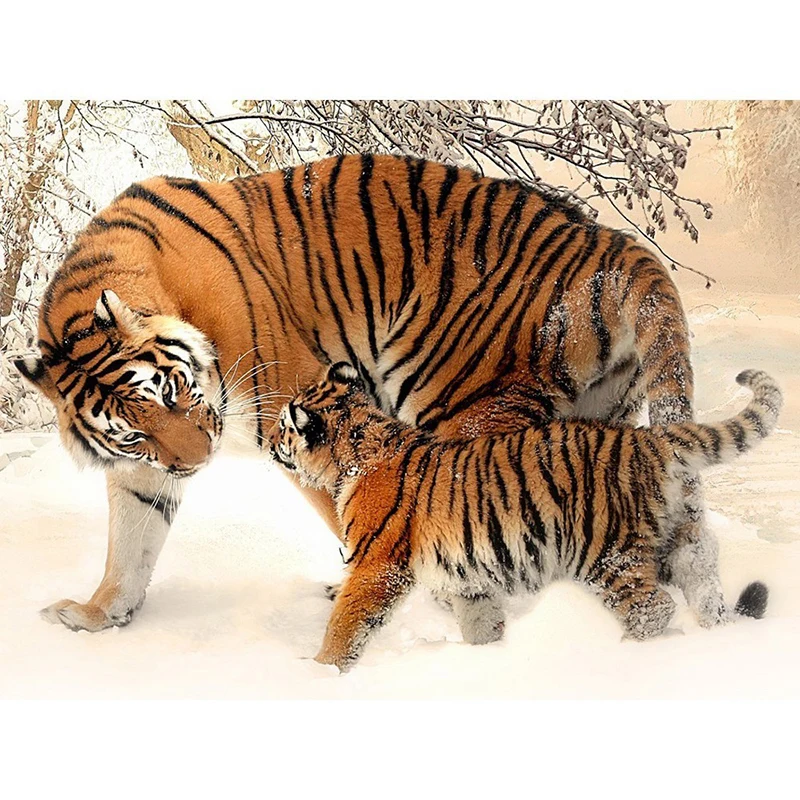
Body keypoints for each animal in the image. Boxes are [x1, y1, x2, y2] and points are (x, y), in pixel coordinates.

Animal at [13, 153, 740, 634]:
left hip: (463, 404)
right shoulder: (144, 469)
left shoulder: (295, 407)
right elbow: (131, 539)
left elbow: (360, 519)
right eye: (132, 430)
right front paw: (98, 614)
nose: (196, 463)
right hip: (597, 420)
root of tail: (610, 242)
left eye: (170, 392)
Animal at [267, 363, 780, 672]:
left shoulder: (377, 567)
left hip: (606, 552)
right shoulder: (468, 577)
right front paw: (489, 658)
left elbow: (345, 623)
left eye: (284, 427)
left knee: (653, 608)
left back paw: (624, 654)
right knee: (703, 583)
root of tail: (648, 439)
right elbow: (481, 622)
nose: (268, 442)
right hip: (676, 540)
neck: (356, 449)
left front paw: (320, 671)